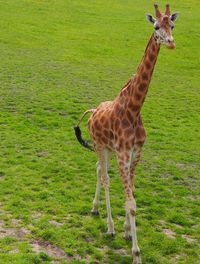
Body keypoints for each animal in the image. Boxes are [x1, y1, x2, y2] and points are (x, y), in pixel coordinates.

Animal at [74, 4, 179, 264]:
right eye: (156, 26)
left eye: (172, 25)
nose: (170, 42)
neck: (134, 109)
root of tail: (92, 112)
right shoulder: (123, 154)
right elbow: (131, 202)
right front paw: (135, 252)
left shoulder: (136, 153)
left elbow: (132, 194)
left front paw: (127, 231)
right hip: (100, 146)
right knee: (105, 177)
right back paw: (109, 226)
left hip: (107, 150)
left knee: (99, 170)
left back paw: (95, 208)